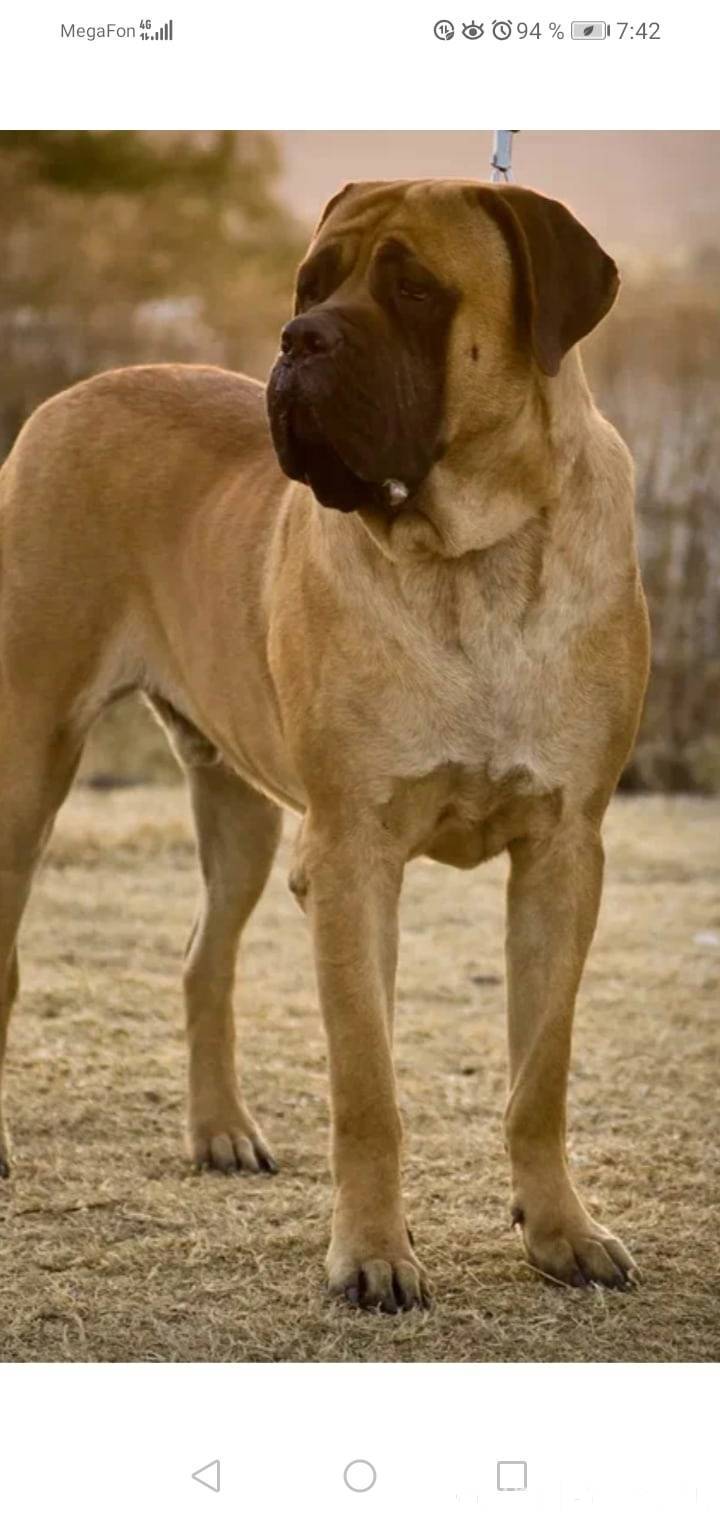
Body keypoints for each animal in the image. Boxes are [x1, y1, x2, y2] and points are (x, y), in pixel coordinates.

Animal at [0, 183, 647, 1313]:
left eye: (415, 289)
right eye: (311, 286)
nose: (298, 340)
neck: (473, 555)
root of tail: (68, 393)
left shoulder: (566, 850)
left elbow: (542, 1070)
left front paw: (562, 1231)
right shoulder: (351, 856)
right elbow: (367, 1085)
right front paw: (374, 1255)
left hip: (241, 811)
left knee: (203, 961)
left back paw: (221, 1131)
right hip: (26, 764)